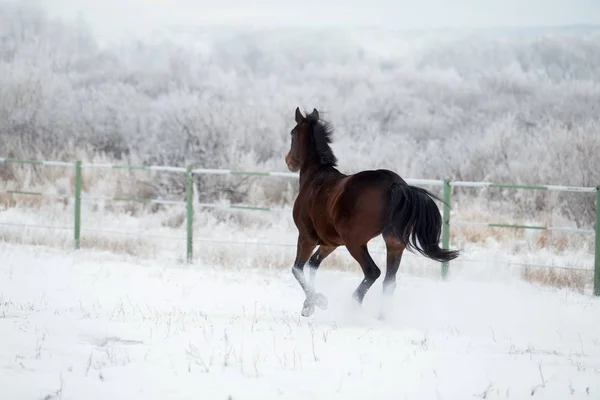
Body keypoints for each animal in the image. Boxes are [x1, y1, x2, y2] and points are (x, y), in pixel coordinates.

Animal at [284, 107, 460, 318]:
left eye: (292, 134)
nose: (288, 161)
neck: (315, 178)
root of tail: (395, 184)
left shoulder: (306, 237)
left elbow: (297, 269)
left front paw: (314, 303)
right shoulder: (330, 243)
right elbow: (313, 264)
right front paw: (310, 304)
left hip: (355, 243)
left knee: (372, 272)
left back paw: (354, 306)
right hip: (394, 243)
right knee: (389, 281)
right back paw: (382, 316)